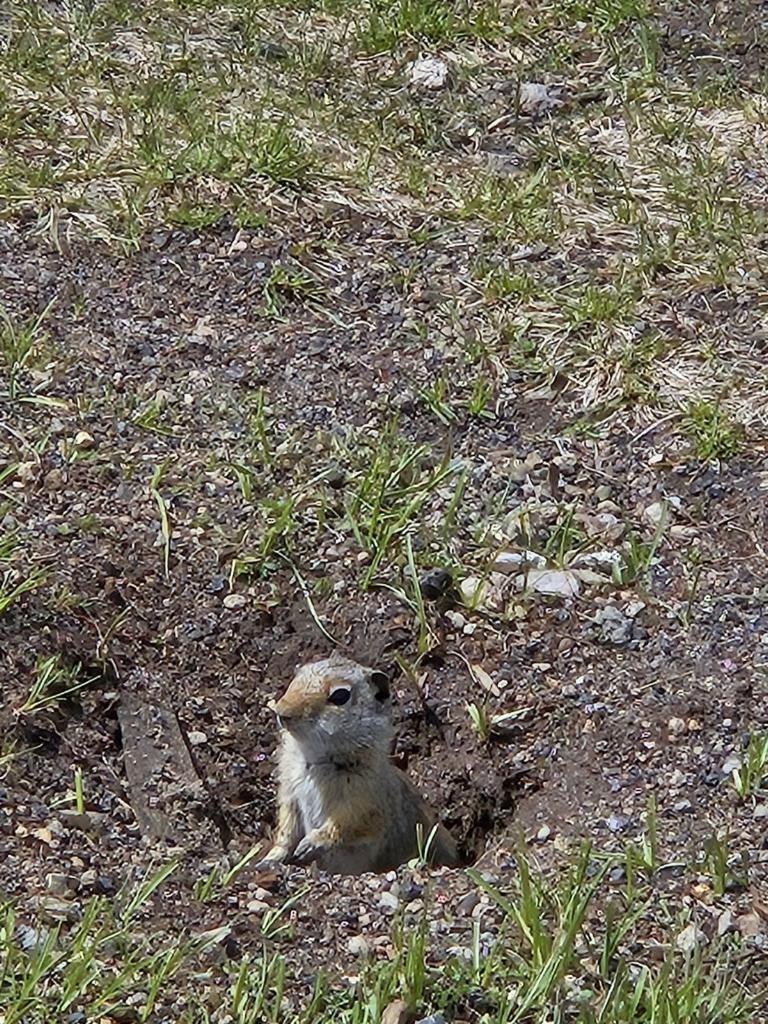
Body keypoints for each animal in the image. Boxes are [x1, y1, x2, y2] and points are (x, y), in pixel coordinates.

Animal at [256, 653, 459, 875]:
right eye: (295, 679)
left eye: (340, 696)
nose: (282, 712)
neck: (314, 759)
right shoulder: (289, 795)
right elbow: (286, 832)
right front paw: (269, 859)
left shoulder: (363, 802)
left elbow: (347, 824)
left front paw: (311, 844)